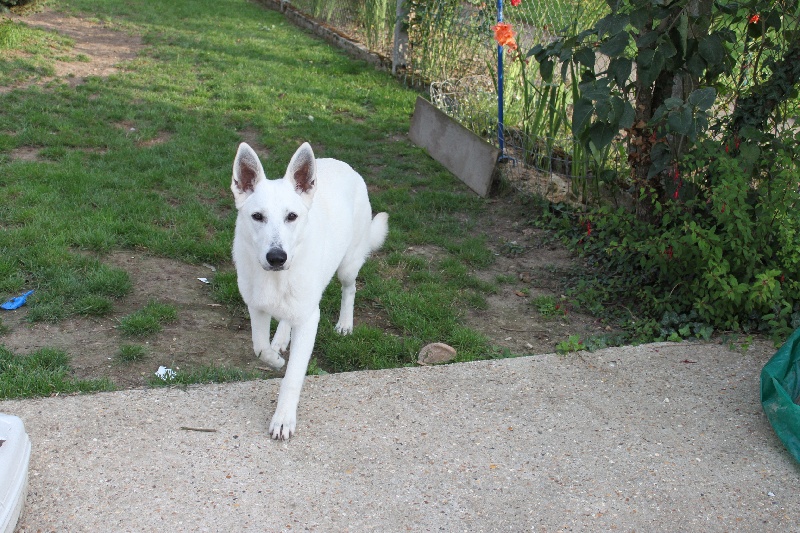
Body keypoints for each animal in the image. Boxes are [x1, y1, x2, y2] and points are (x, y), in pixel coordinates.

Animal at [231, 142, 388, 440]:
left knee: (350, 289)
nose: (277, 257)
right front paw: (275, 359)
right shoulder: (256, 307)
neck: (277, 278)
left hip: (347, 266)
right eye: (257, 216)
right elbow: (260, 348)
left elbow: (292, 378)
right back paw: (281, 339)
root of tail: (343, 164)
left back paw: (345, 323)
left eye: (291, 216)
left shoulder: (309, 320)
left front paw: (283, 419)